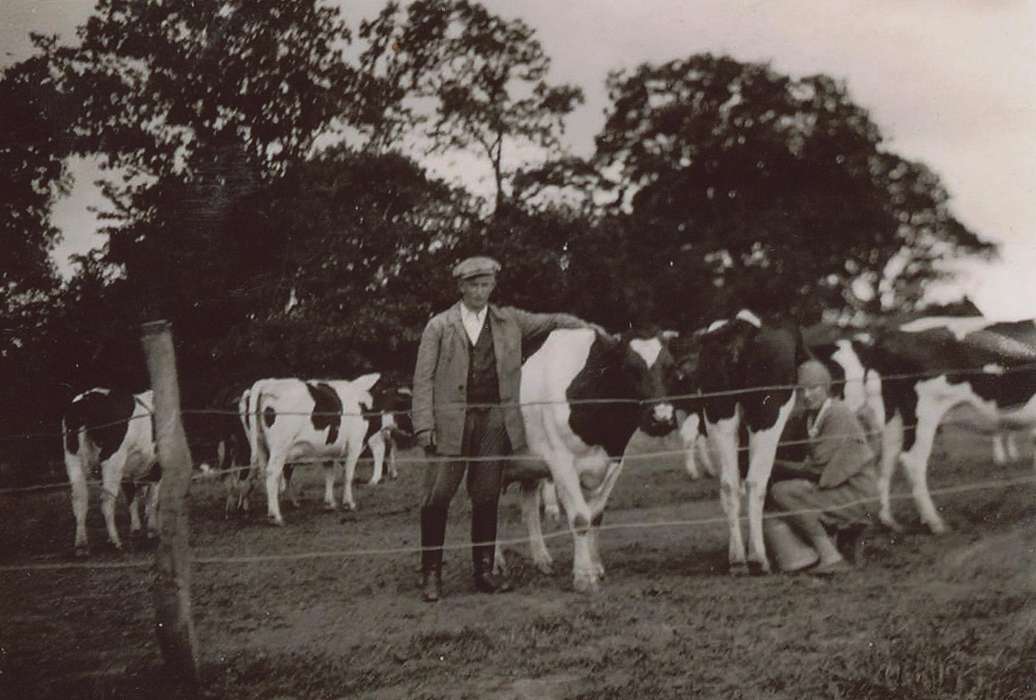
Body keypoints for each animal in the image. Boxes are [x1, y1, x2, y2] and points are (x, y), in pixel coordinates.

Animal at [62, 385, 158, 555]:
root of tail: (87, 397)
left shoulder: (129, 472)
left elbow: (132, 497)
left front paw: (136, 529)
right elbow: (152, 498)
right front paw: (152, 531)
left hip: (72, 458)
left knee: (79, 499)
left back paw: (81, 545)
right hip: (113, 459)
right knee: (106, 499)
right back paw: (115, 542)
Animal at [493, 327, 679, 592]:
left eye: (670, 367)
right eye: (630, 368)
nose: (662, 418)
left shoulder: (614, 462)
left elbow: (595, 516)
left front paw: (596, 566)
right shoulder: (561, 461)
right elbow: (581, 518)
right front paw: (584, 576)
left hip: (528, 463)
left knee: (528, 506)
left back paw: (542, 559)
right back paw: (496, 562)